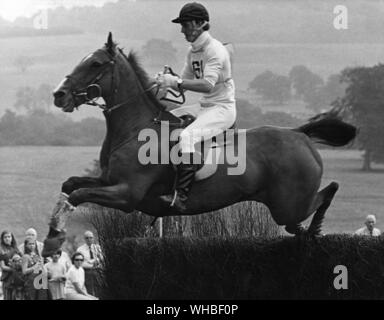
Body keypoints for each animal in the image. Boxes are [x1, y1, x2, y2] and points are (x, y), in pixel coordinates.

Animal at [42, 32, 356, 256]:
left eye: (94, 64)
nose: (59, 95)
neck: (134, 128)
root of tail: (299, 134)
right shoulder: (108, 180)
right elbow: (70, 185)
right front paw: (51, 238)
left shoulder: (128, 194)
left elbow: (78, 195)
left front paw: (55, 239)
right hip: (285, 206)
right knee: (305, 215)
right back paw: (310, 233)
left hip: (287, 205)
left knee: (328, 191)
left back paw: (315, 230)